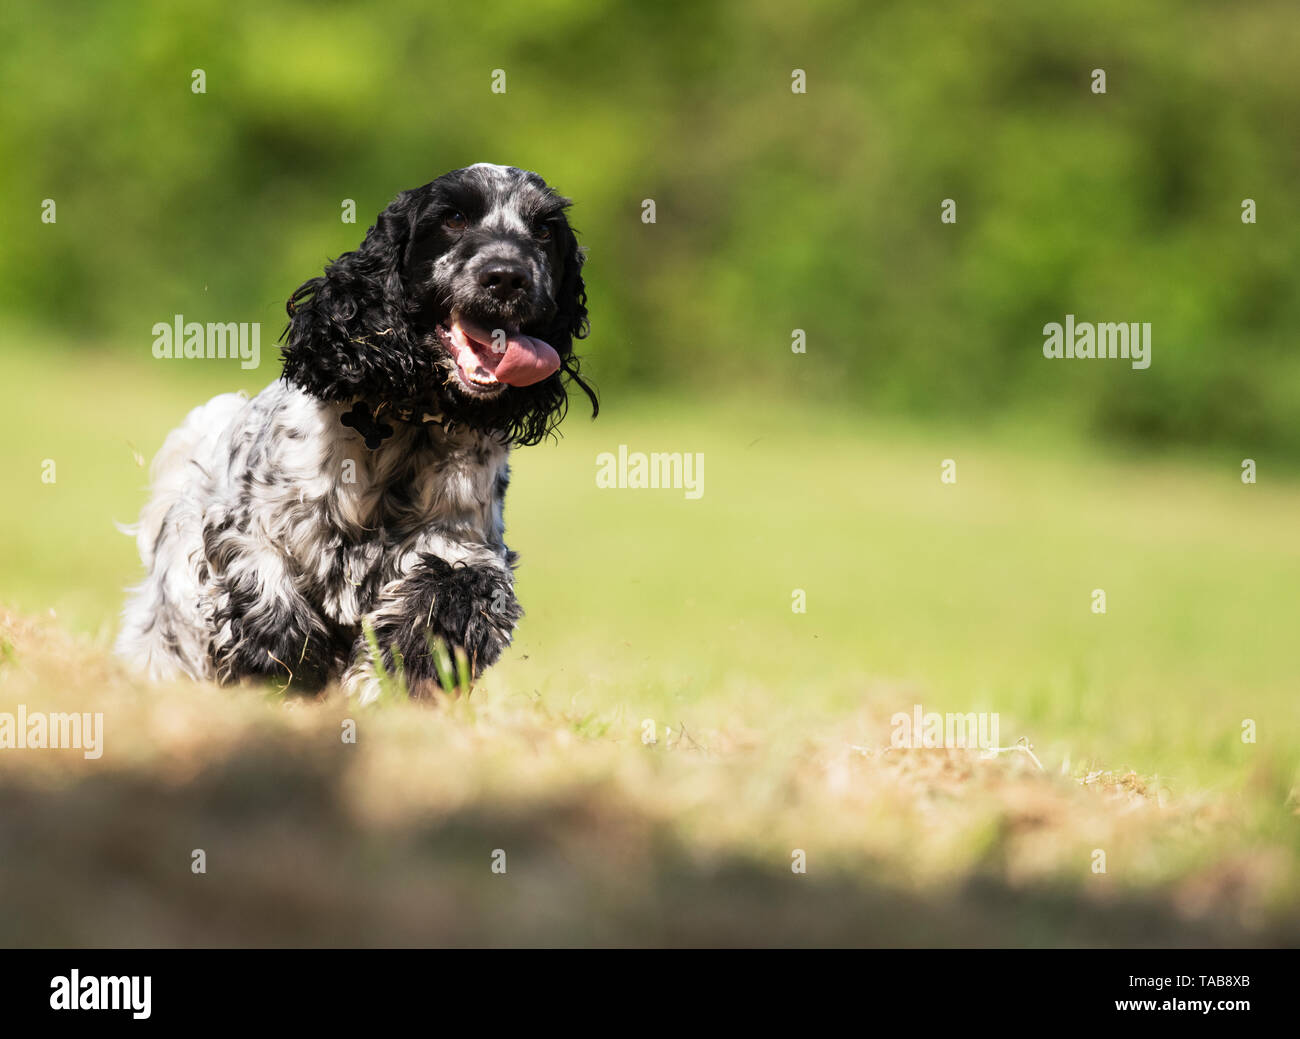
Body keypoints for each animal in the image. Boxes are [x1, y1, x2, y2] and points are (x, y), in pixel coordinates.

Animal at [114, 164, 595, 697]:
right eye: (453, 218)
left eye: (546, 230)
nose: (507, 276)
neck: (407, 421)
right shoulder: (245, 525)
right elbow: (266, 596)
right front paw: (285, 667)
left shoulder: (465, 547)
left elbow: (444, 602)